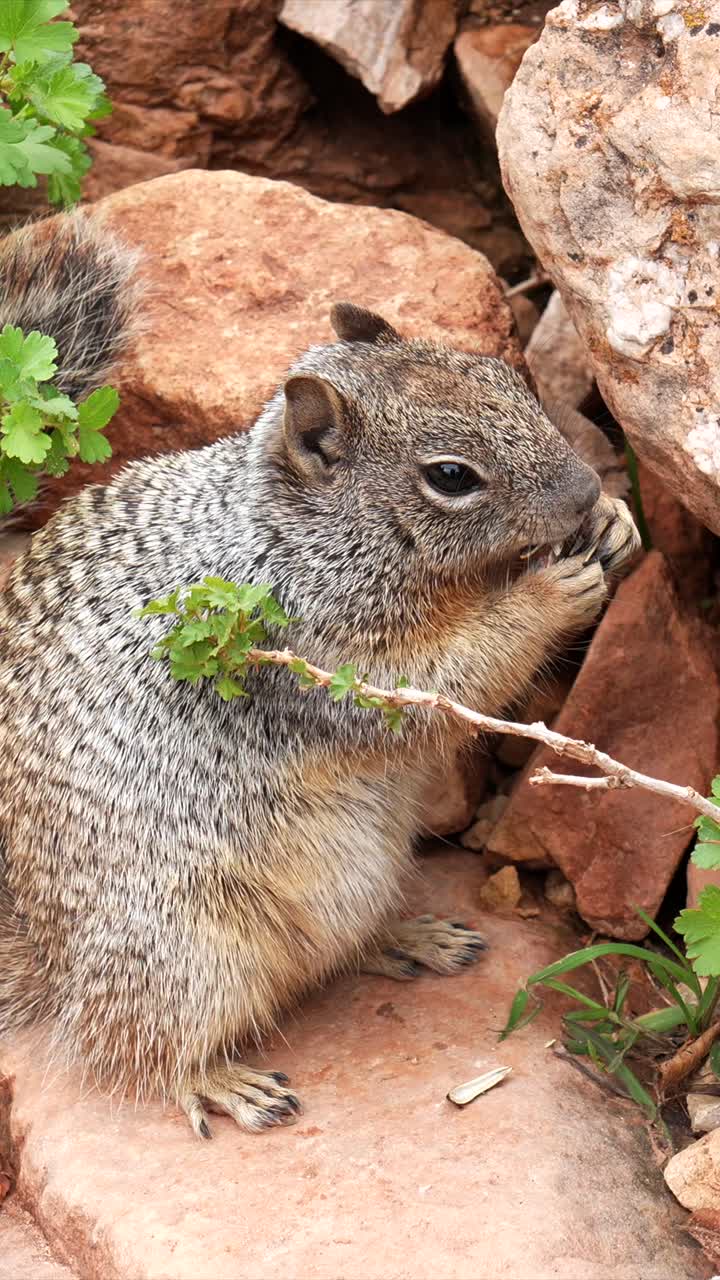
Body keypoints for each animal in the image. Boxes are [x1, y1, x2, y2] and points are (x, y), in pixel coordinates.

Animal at [0, 213, 640, 1138]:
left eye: (506, 379)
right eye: (451, 476)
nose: (588, 488)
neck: (294, 529)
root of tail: (50, 964)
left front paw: (617, 523)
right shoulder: (320, 652)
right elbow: (441, 683)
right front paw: (550, 592)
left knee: (329, 956)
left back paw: (414, 939)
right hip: (187, 954)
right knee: (135, 1046)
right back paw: (223, 1082)